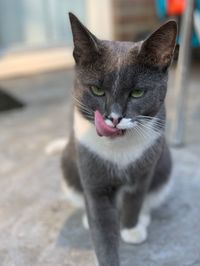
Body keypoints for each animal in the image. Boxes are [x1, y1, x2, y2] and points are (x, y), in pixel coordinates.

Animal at [61, 13, 177, 266]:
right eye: (96, 90)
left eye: (137, 93)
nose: (113, 118)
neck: (119, 148)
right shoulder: (93, 178)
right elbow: (102, 225)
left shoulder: (145, 170)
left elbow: (135, 198)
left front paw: (131, 228)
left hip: (164, 167)